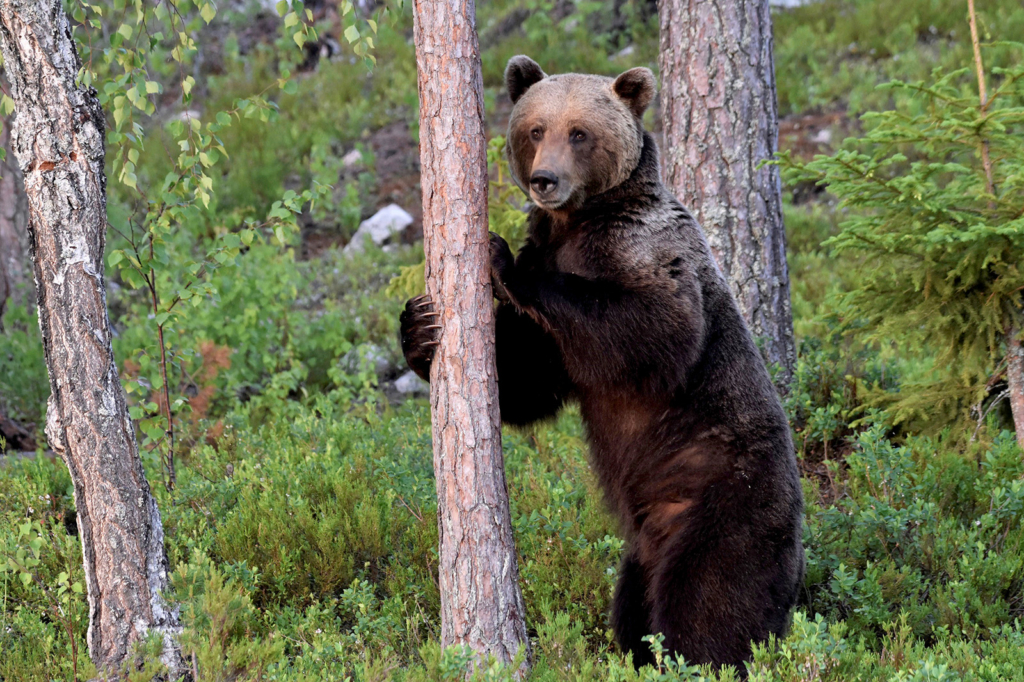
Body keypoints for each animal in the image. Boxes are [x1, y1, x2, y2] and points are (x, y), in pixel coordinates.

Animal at [399, 55, 806, 671]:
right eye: (535, 128)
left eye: (579, 133)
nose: (545, 180)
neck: (579, 221)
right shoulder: (553, 339)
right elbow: (525, 381)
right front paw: (420, 327)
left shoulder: (645, 254)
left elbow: (652, 328)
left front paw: (503, 258)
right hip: (642, 545)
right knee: (635, 607)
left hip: (727, 494)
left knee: (710, 600)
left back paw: (698, 657)